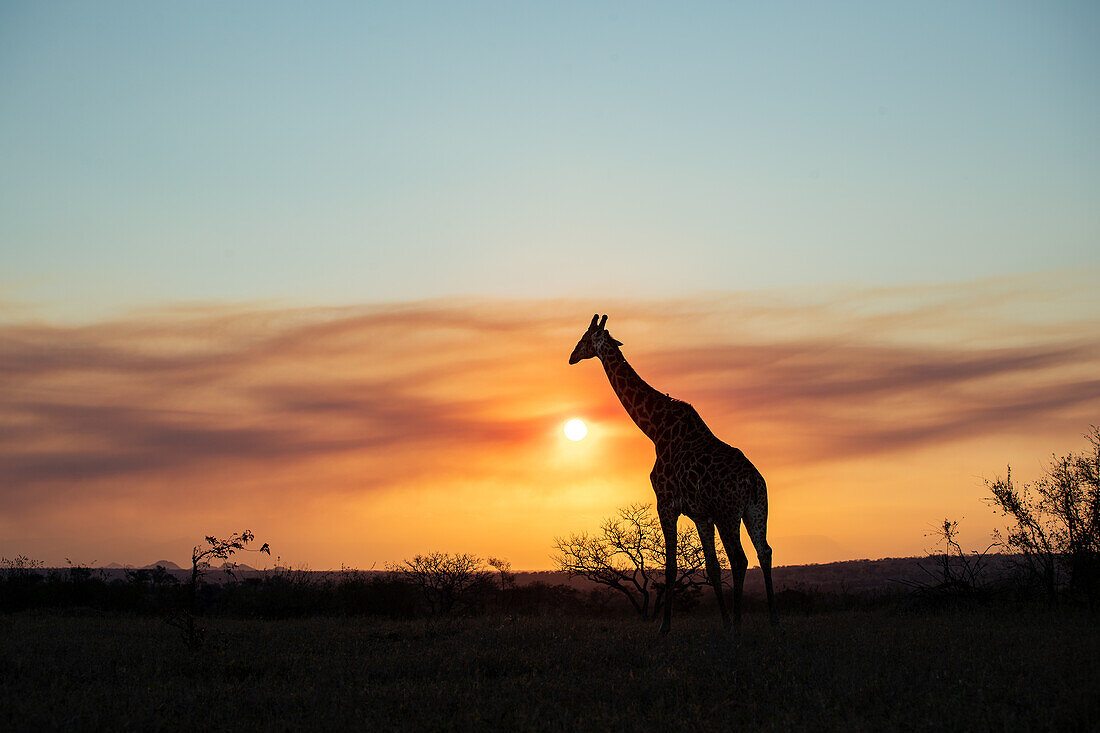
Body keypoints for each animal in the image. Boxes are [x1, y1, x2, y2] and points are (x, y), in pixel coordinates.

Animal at [572, 310, 778, 629]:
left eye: (584, 338)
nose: (571, 356)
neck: (655, 429)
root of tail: (753, 481)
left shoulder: (666, 503)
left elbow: (670, 567)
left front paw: (665, 627)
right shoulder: (701, 514)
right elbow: (712, 568)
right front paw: (723, 621)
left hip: (729, 512)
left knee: (740, 558)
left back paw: (740, 625)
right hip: (756, 508)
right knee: (764, 551)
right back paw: (772, 620)